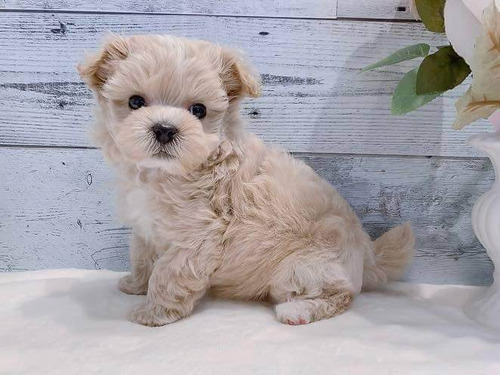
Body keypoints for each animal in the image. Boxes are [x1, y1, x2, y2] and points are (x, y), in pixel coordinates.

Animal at [78, 34, 414, 326]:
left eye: (198, 110)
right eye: (135, 102)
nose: (164, 129)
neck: (164, 174)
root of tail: (367, 256)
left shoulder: (197, 236)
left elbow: (169, 274)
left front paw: (153, 313)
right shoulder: (145, 227)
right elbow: (142, 257)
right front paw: (136, 285)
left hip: (303, 268)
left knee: (341, 295)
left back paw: (298, 311)